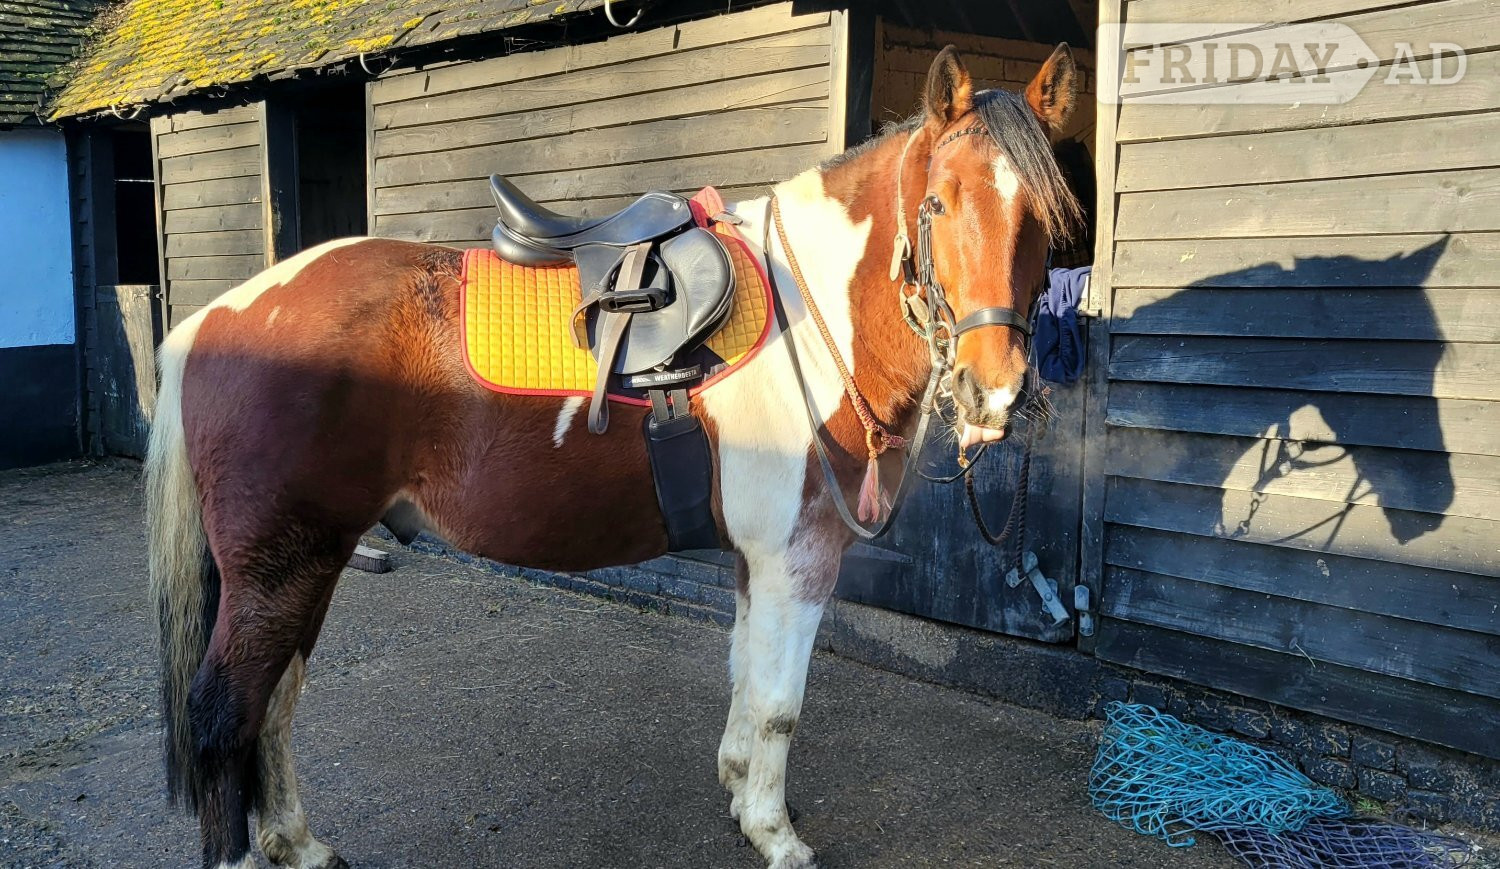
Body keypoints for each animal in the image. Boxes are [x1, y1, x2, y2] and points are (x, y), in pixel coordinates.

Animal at [145, 45, 1080, 869]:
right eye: (940, 203)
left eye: (1047, 215)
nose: (993, 393)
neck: (809, 319)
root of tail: (218, 317)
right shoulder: (799, 557)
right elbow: (780, 703)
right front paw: (776, 834)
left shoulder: (756, 561)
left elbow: (745, 679)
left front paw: (740, 796)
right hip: (282, 565)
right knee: (226, 713)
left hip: (308, 560)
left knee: (275, 703)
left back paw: (297, 841)